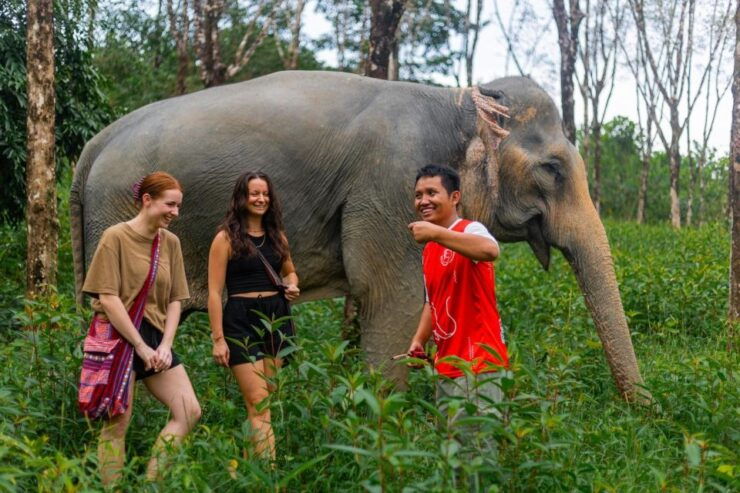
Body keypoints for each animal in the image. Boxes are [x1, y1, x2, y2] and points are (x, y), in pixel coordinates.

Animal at [71, 70, 646, 401]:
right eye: (552, 169)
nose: (640, 415)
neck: (458, 101)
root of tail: (93, 146)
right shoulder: (390, 182)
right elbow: (393, 297)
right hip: (120, 216)